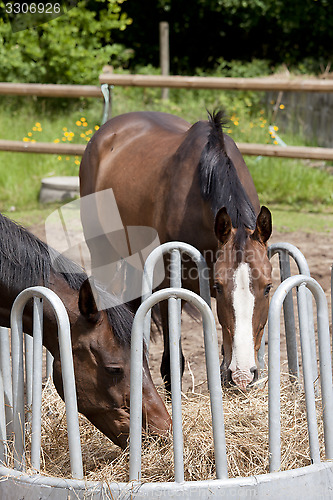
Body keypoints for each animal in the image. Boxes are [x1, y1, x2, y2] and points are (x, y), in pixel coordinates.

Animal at [79, 111, 272, 392]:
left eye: (268, 287)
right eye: (219, 286)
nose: (244, 372)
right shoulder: (169, 286)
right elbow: (172, 364)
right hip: (103, 253)